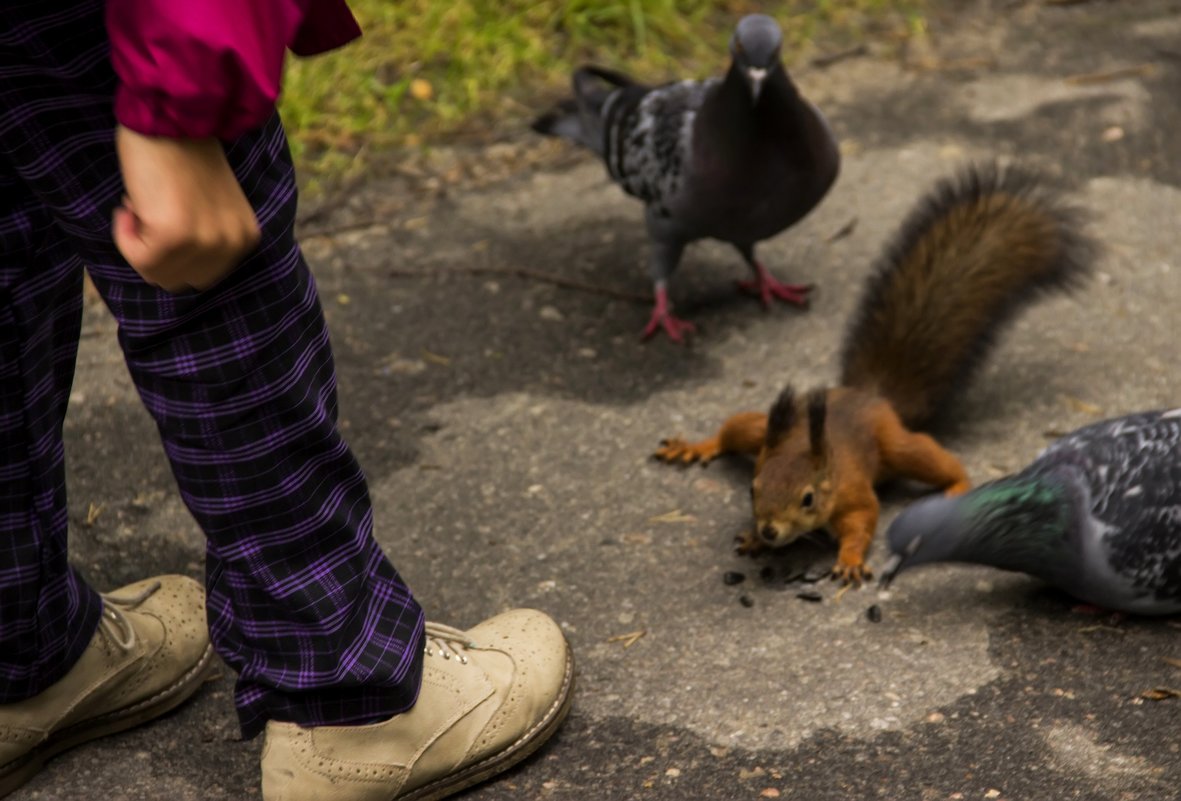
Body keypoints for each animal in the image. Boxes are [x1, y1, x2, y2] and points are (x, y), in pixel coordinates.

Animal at [651, 164, 1091, 590]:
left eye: (808, 499)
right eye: (752, 490)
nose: (770, 530)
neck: (821, 463)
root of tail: (868, 395)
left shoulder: (853, 493)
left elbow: (863, 522)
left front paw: (847, 562)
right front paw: (754, 539)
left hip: (894, 444)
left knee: (930, 456)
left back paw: (956, 488)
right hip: (762, 432)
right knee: (735, 430)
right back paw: (695, 446)